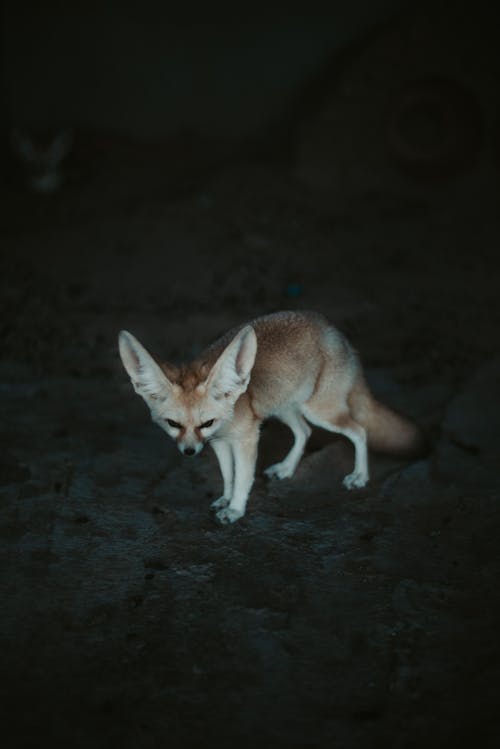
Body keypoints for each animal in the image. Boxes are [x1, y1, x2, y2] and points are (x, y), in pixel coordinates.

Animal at [118, 308, 426, 520]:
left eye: (206, 422)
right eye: (173, 424)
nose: (189, 452)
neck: (227, 419)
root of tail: (335, 332)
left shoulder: (246, 439)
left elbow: (243, 477)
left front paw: (236, 509)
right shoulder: (219, 443)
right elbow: (228, 475)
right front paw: (226, 498)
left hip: (319, 411)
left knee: (359, 431)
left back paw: (360, 476)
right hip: (285, 408)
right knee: (304, 432)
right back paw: (287, 468)